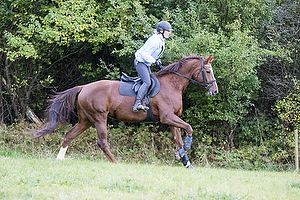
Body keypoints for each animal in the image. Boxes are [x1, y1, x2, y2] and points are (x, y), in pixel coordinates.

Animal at [34, 54, 218, 169]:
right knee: (102, 142)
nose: (215, 91)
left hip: (86, 119)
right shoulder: (167, 117)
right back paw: (116, 163)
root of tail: (84, 87)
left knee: (70, 134)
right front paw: (186, 148)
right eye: (208, 71)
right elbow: (188, 128)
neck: (172, 84)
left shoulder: (172, 119)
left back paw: (59, 159)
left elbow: (178, 139)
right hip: (99, 118)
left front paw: (186, 161)